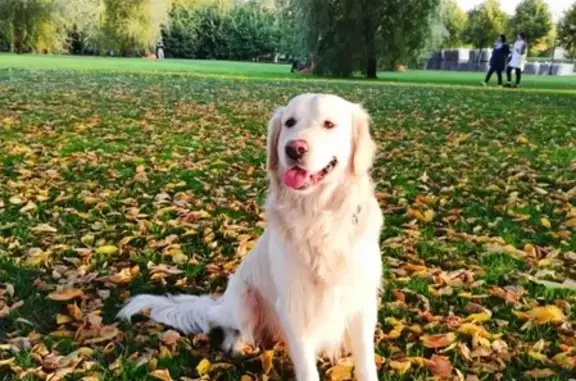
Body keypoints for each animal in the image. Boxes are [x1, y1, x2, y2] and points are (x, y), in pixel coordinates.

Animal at [117, 93, 382, 380]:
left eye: (329, 124)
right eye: (290, 122)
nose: (294, 149)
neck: (318, 215)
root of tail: (221, 303)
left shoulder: (362, 301)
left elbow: (365, 360)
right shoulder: (293, 305)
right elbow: (306, 368)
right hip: (244, 296)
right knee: (235, 329)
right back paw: (239, 343)